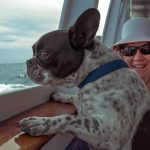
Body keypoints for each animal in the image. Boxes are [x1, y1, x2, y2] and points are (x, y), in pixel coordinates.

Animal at [17, 8, 150, 150]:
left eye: (43, 54)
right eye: (33, 51)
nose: (28, 62)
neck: (95, 74)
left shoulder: (108, 131)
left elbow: (70, 119)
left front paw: (40, 122)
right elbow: (74, 97)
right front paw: (60, 95)